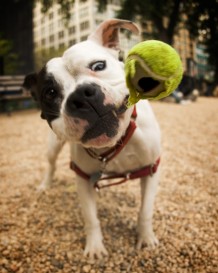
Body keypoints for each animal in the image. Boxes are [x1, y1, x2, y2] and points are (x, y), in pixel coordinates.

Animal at [23, 18, 161, 258]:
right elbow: (91, 218)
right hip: (53, 145)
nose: (81, 95)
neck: (114, 144)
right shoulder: (83, 179)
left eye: (98, 66)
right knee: (51, 164)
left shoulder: (150, 170)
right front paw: (95, 247)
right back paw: (45, 184)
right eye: (50, 93)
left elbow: (145, 210)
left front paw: (146, 238)